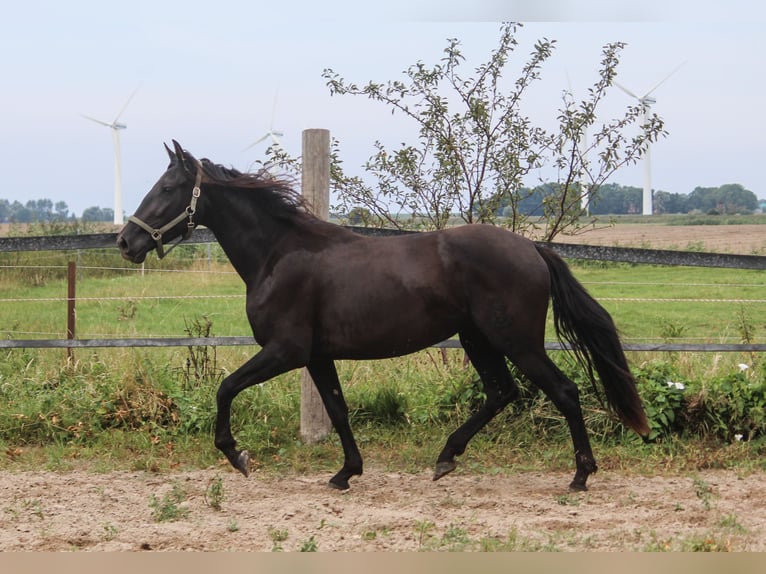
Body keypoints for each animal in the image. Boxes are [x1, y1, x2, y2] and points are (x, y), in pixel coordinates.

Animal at [117, 142, 652, 492]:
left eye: (168, 186)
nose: (126, 241)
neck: (278, 253)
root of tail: (533, 249)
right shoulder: (316, 356)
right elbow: (337, 409)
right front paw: (345, 473)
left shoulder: (285, 350)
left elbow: (225, 388)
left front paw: (238, 457)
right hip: (477, 339)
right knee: (502, 393)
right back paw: (445, 459)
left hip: (516, 341)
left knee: (563, 391)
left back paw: (580, 475)